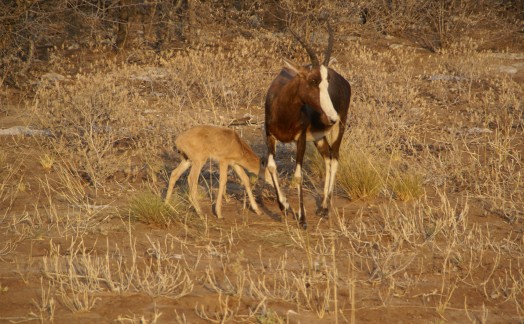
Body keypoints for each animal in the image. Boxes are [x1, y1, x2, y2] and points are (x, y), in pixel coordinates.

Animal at [266, 21, 352, 229]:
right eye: (313, 80)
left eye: (327, 81)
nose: (331, 117)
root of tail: (346, 82)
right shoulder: (269, 135)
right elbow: (271, 167)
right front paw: (285, 207)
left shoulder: (301, 139)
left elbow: (298, 175)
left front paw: (302, 219)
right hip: (319, 138)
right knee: (328, 158)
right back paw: (321, 206)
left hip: (338, 130)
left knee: (335, 157)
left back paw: (326, 208)